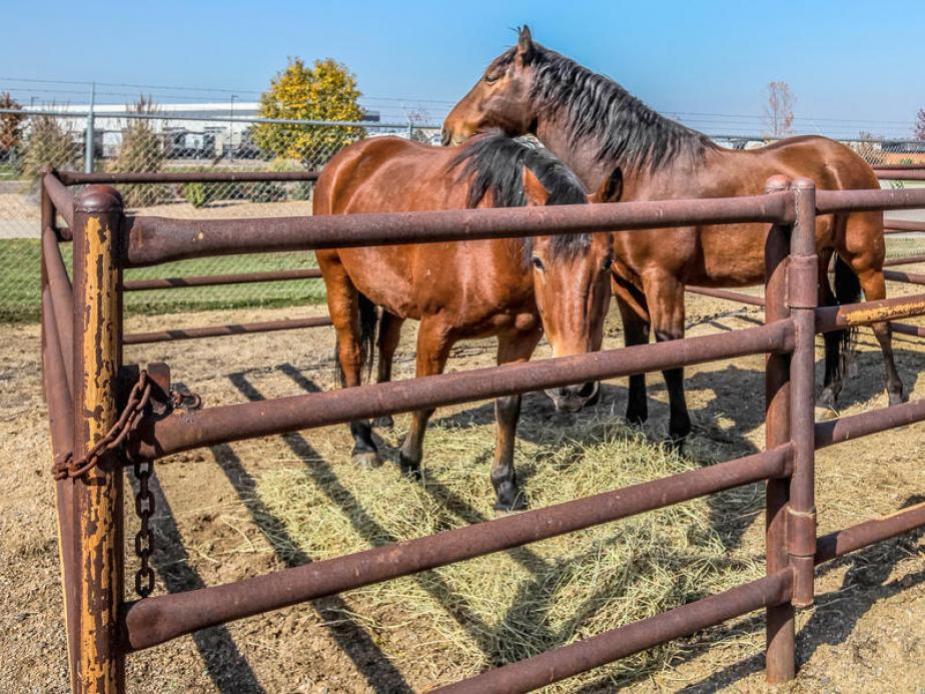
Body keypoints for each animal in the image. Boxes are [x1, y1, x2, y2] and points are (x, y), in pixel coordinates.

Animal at [312, 132, 620, 512]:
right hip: (337, 277)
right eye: (538, 261)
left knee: (386, 343)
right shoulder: (436, 330)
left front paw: (504, 488)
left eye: (607, 262)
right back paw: (363, 443)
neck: (488, 247)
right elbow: (426, 399)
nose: (573, 389)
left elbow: (508, 407)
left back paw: (383, 415)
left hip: (392, 295)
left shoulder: (521, 336)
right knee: (351, 351)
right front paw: (409, 463)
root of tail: (350, 156)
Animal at [444, 27, 904, 446]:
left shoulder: (663, 280)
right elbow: (636, 347)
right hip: (821, 259)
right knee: (831, 319)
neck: (640, 172)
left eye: (491, 77)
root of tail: (849, 159)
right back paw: (827, 398)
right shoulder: (624, 281)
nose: (449, 131)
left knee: (880, 319)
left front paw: (677, 433)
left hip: (865, 260)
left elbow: (670, 352)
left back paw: (895, 396)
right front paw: (635, 416)